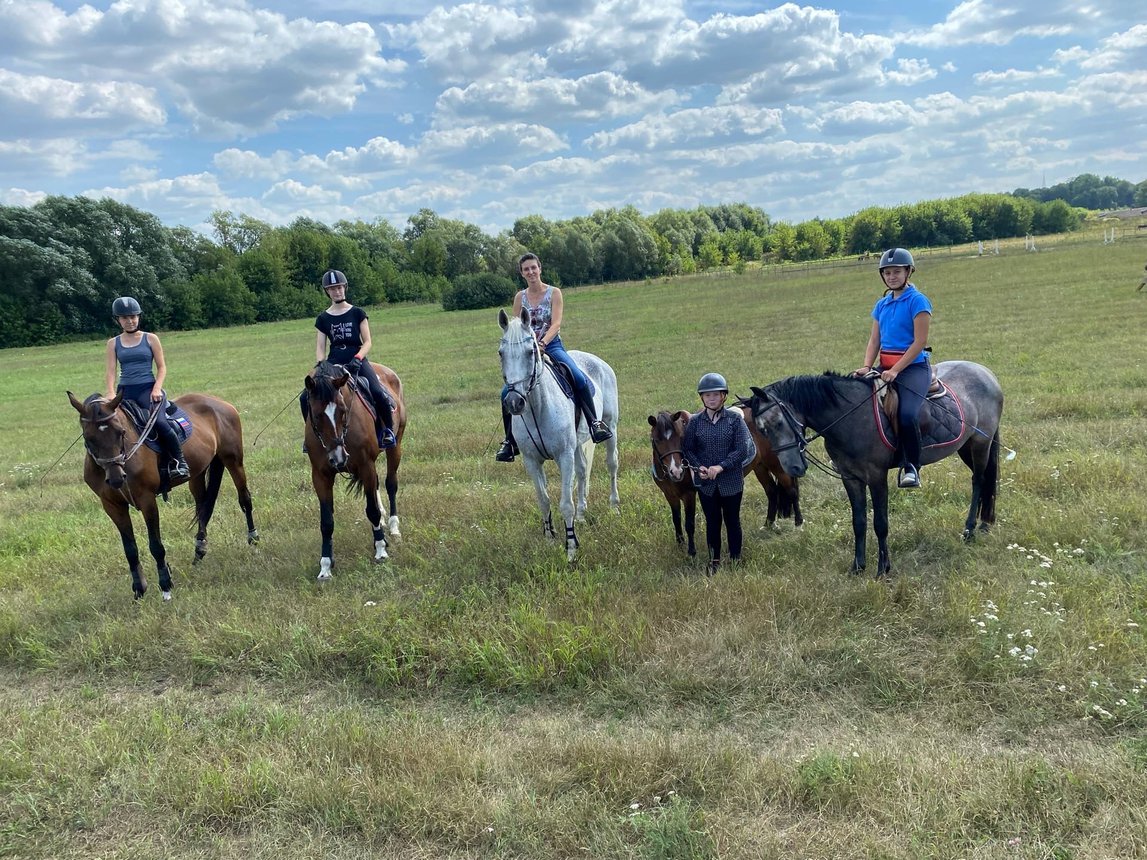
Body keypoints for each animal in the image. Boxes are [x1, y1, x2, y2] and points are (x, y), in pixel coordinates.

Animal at [68, 389, 259, 600]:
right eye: (89, 438)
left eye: (121, 432)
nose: (117, 479)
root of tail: (220, 402)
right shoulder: (112, 505)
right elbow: (130, 549)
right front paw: (139, 589)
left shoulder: (147, 500)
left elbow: (156, 545)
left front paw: (166, 586)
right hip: (198, 473)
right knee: (203, 508)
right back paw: (199, 550)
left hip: (233, 459)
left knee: (244, 499)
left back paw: (253, 538)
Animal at [305, 360, 408, 582]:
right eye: (316, 415)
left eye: (343, 410)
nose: (338, 458)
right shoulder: (320, 475)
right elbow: (326, 522)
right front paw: (325, 566)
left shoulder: (365, 465)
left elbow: (372, 511)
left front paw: (380, 550)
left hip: (396, 445)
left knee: (391, 484)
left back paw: (393, 527)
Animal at [495, 307, 619, 561]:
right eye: (501, 353)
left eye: (531, 351)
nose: (513, 402)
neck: (538, 407)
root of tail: (597, 360)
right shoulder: (532, 461)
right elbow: (544, 500)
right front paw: (550, 539)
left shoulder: (564, 456)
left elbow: (565, 504)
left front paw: (571, 548)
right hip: (578, 445)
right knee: (582, 472)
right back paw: (581, 515)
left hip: (611, 427)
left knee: (612, 464)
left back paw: (614, 507)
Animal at [646, 405, 807, 554]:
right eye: (657, 440)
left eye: (680, 437)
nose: (677, 471)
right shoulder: (670, 496)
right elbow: (676, 521)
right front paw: (680, 546)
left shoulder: (689, 495)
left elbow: (689, 524)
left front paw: (691, 553)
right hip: (760, 466)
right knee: (772, 491)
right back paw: (768, 524)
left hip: (777, 465)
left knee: (792, 491)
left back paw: (798, 524)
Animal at [743, 360, 1004, 575]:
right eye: (760, 429)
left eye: (778, 422)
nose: (793, 468)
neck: (851, 418)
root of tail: (986, 372)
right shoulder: (850, 477)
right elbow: (858, 522)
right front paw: (858, 567)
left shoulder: (877, 476)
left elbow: (880, 523)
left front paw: (882, 569)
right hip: (965, 445)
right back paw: (983, 523)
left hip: (981, 443)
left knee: (979, 480)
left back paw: (970, 529)